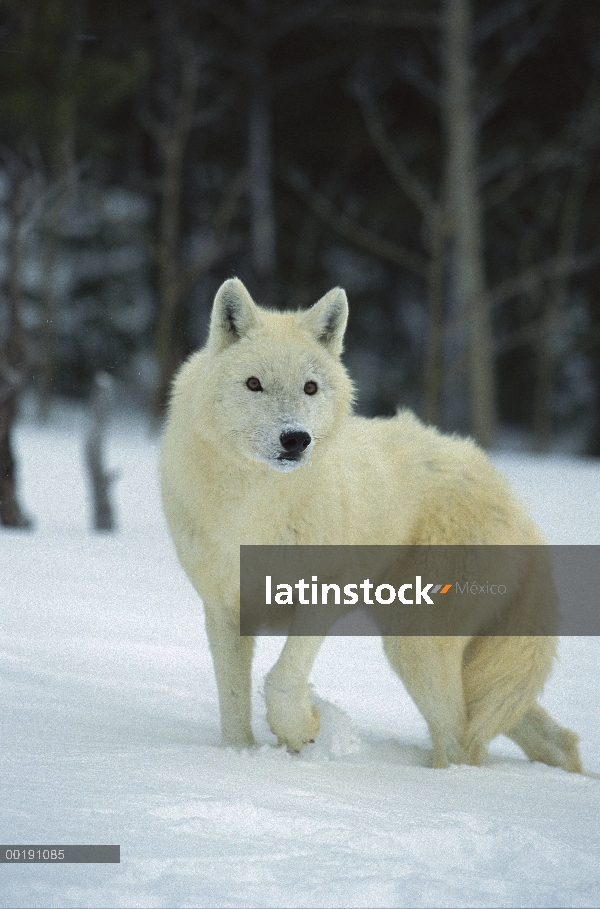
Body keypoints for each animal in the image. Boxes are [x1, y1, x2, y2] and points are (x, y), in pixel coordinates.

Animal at [159, 274, 580, 768]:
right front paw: (241, 755)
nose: (295, 439)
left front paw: (302, 730)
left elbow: (282, 678)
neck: (254, 507)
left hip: (414, 646)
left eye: (310, 388)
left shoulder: (323, 595)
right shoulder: (223, 608)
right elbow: (232, 701)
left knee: (462, 742)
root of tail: (512, 499)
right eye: (253, 383)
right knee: (547, 735)